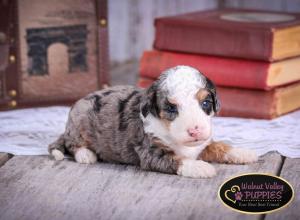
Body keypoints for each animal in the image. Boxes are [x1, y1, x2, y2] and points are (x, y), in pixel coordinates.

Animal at [49, 65, 258, 179]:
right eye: (171, 108)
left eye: (205, 103)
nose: (195, 131)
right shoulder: (150, 152)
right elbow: (177, 159)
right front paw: (200, 167)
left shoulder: (203, 143)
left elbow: (219, 146)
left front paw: (242, 152)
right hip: (79, 121)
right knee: (72, 144)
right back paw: (86, 155)